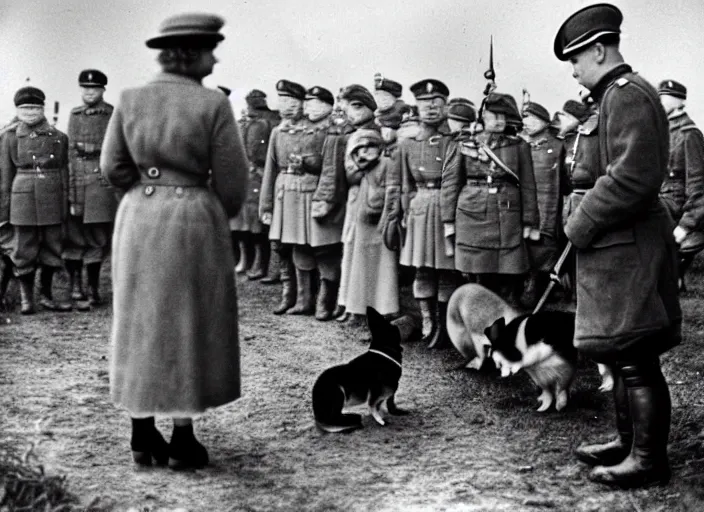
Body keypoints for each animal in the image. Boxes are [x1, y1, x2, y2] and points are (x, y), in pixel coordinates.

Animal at [312, 306, 410, 434]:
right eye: (395, 328)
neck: (384, 348)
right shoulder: (382, 389)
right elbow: (378, 404)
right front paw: (381, 419)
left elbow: (387, 402)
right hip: (338, 393)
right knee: (334, 418)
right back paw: (353, 420)